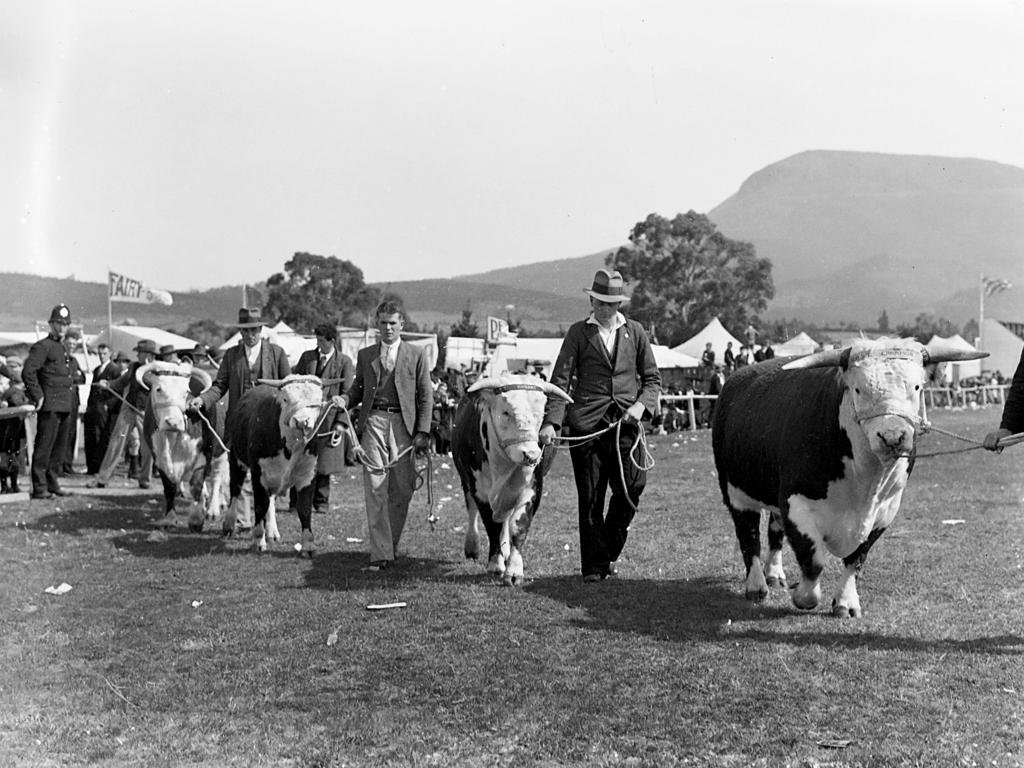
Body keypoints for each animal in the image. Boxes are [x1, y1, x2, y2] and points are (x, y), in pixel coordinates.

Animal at [137, 362, 227, 532]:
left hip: (221, 450)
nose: (173, 422)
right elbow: (169, 488)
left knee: (217, 477)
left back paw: (213, 508)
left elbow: (196, 485)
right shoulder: (160, 458)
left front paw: (196, 520)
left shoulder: (203, 455)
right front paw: (169, 519)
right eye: (158, 389)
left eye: (186, 391)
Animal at [452, 370, 573, 581]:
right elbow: (491, 525)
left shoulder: (533, 489)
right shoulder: (480, 489)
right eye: (506, 412)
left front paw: (514, 569)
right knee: (472, 511)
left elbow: (518, 525)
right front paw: (495, 564)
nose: (531, 455)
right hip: (465, 481)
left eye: (541, 413)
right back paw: (473, 547)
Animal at [712, 335, 983, 618]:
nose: (892, 437)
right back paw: (756, 585)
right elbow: (813, 561)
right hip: (734, 492)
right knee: (748, 536)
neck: (866, 482)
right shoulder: (796, 503)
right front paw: (805, 597)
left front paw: (845, 602)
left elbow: (857, 558)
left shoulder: (885, 510)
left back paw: (774, 574)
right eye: (858, 389)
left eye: (917, 387)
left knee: (773, 530)